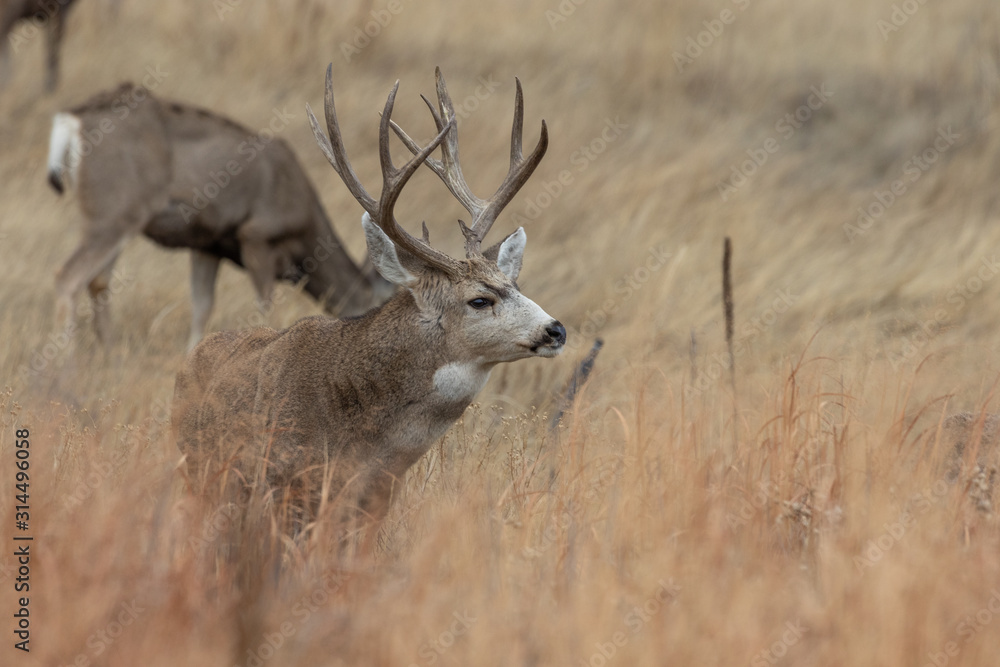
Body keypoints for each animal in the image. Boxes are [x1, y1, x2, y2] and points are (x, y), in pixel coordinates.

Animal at [47, 81, 394, 350]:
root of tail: (71, 121)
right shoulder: (256, 237)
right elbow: (264, 307)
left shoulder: (206, 245)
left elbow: (201, 307)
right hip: (117, 212)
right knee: (67, 277)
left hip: (108, 217)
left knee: (98, 281)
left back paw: (112, 355)